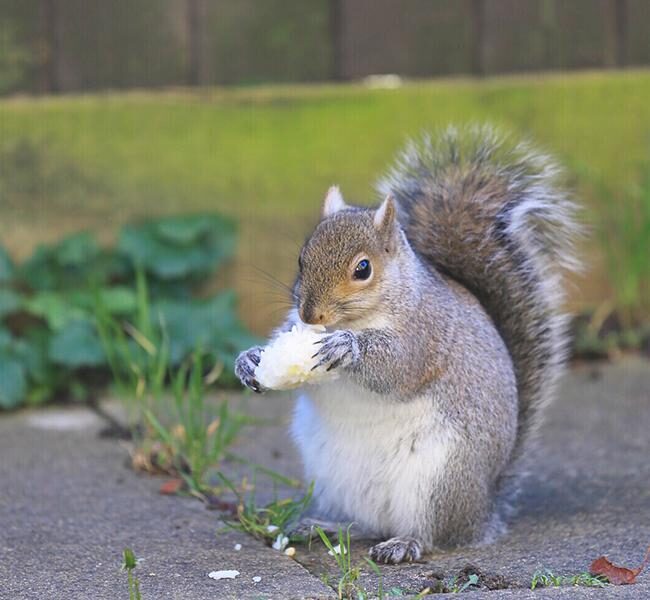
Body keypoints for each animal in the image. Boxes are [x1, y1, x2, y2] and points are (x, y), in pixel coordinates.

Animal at [235, 125, 581, 564]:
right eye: (301, 259)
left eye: (363, 269)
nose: (311, 315)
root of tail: (483, 512)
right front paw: (249, 360)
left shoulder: (423, 333)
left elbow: (397, 367)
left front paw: (347, 347)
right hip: (335, 477)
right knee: (365, 524)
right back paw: (323, 525)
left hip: (439, 478)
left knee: (433, 534)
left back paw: (404, 543)